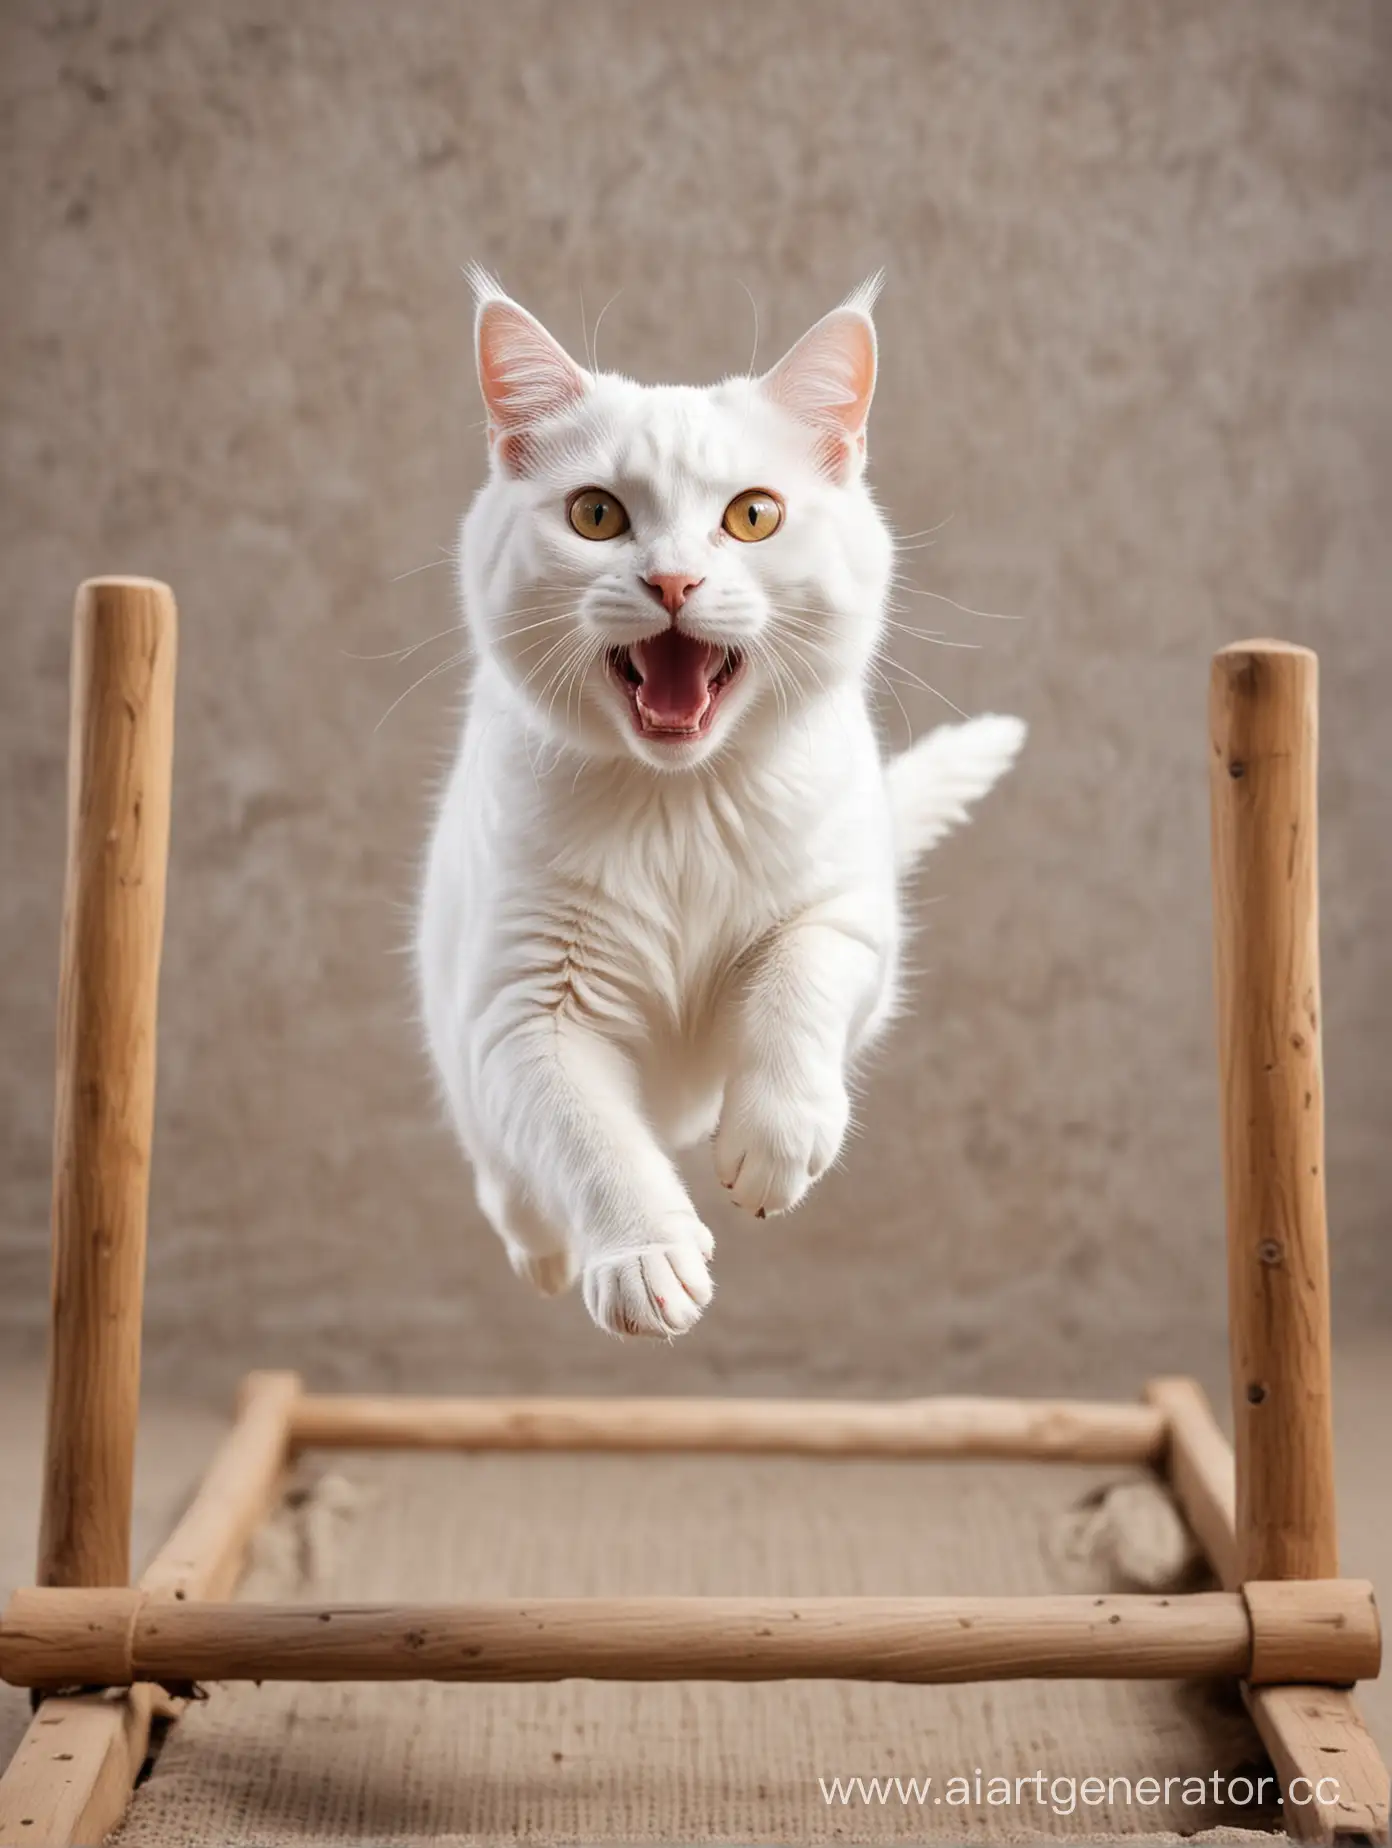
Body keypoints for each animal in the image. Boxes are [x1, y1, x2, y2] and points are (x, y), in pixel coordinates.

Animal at [415, 269, 1020, 1345]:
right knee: (509, 1174)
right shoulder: (523, 1006)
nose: (672, 579)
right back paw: (543, 1249)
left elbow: (798, 982)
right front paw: (643, 1256)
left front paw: (775, 1142)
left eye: (752, 517)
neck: (679, 807)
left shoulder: (848, 914)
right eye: (597, 514)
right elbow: (589, 1138)